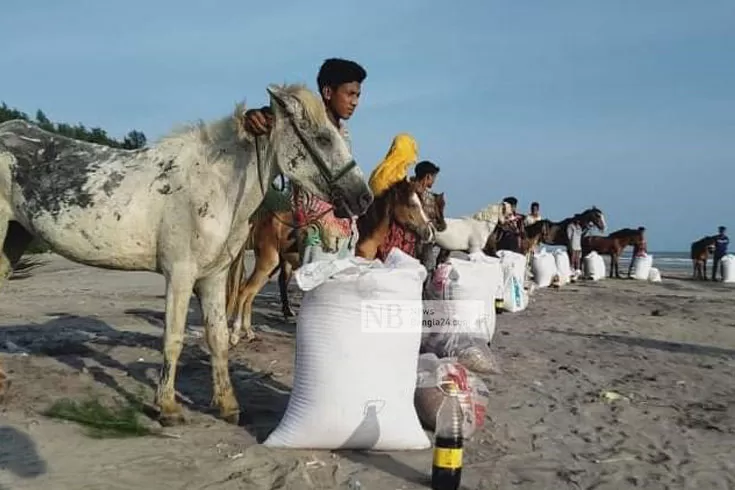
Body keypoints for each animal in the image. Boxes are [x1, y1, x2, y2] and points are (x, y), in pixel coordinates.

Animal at [0, 82, 370, 424]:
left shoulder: (213, 277)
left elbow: (218, 337)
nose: (362, 198)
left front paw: (227, 405)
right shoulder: (180, 273)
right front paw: (166, 407)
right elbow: (173, 338)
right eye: (322, 138)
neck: (212, 184)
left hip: (13, 241)